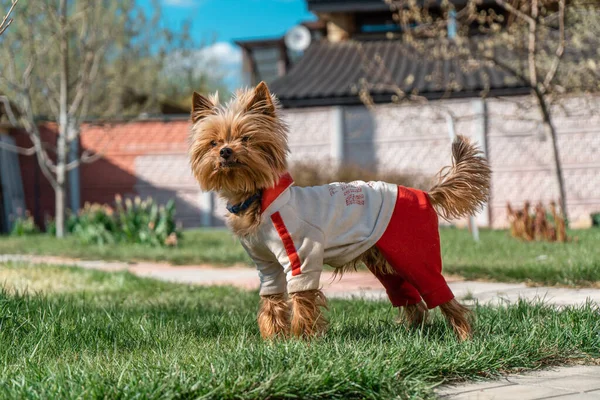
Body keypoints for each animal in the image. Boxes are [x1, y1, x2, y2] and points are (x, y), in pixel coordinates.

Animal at [189, 80, 492, 340]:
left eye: (246, 139)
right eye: (214, 143)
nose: (225, 151)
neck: (257, 198)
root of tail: (425, 194)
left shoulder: (301, 257)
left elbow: (303, 299)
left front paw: (303, 340)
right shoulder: (266, 266)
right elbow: (272, 300)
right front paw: (274, 339)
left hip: (414, 254)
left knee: (441, 293)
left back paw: (464, 335)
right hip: (386, 261)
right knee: (409, 298)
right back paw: (412, 333)